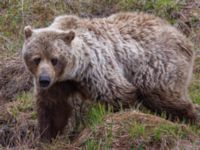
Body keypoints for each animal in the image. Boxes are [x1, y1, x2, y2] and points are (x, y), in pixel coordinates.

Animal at [22, 12, 200, 141]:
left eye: (55, 59)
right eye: (36, 59)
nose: (44, 79)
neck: (73, 73)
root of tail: (183, 38)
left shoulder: (96, 68)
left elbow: (118, 94)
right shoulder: (59, 84)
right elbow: (53, 107)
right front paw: (47, 136)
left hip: (157, 66)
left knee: (165, 97)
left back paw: (190, 118)